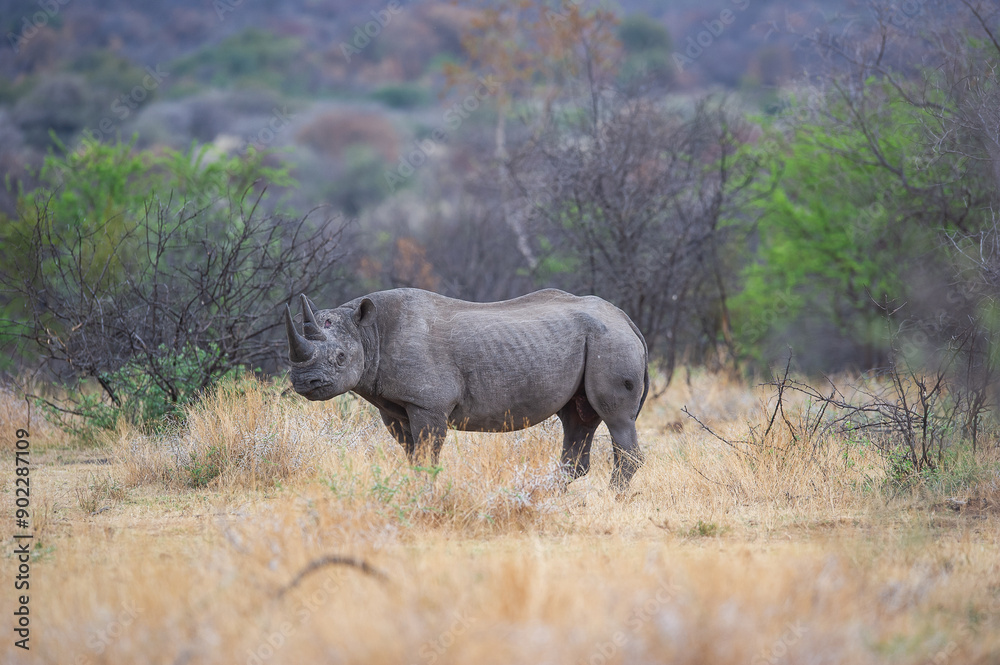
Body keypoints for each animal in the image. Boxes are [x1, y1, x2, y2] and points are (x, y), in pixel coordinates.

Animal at [284, 288, 648, 491]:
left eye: (341, 358)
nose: (304, 383)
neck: (368, 333)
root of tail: (627, 320)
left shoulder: (428, 404)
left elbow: (427, 455)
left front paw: (424, 499)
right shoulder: (394, 406)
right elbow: (412, 455)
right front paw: (413, 492)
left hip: (610, 341)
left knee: (616, 419)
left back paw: (610, 499)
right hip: (595, 339)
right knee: (576, 418)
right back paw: (546, 496)